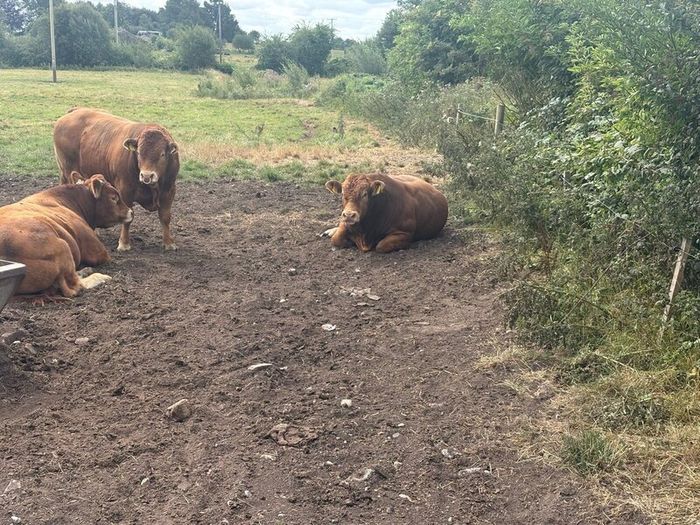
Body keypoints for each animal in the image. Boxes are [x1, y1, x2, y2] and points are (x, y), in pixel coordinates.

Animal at [0, 174, 133, 297]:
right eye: (113, 198)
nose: (131, 212)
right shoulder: (98, 250)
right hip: (63, 246)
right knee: (76, 285)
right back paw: (98, 276)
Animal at [53, 107, 179, 252]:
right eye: (139, 153)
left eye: (162, 154)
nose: (146, 176)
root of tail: (75, 110)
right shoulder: (125, 191)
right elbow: (128, 219)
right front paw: (124, 243)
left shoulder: (169, 190)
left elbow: (165, 217)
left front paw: (169, 242)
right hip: (67, 172)